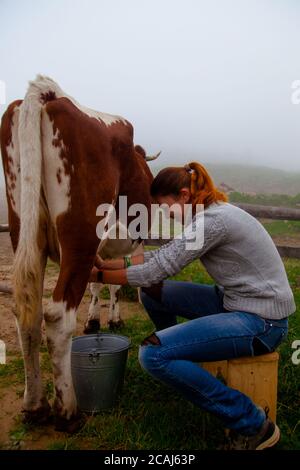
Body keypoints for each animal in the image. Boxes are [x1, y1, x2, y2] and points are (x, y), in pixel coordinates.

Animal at [0, 75, 159, 432]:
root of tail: (50, 95)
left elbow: (100, 285)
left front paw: (96, 320)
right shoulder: (124, 245)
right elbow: (113, 285)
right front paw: (110, 319)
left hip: (24, 229)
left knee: (27, 313)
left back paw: (36, 406)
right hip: (80, 235)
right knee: (57, 316)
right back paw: (67, 412)